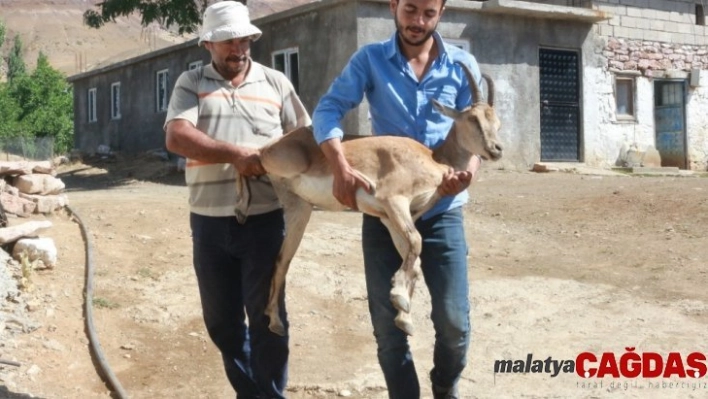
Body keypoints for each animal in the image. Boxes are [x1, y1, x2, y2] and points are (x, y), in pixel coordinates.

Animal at [243, 65, 504, 338]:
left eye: (496, 122)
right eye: (473, 119)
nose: (497, 149)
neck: (434, 159)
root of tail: (272, 147)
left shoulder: (391, 218)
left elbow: (414, 260)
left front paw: (404, 317)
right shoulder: (394, 200)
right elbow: (416, 242)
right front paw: (398, 295)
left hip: (299, 208)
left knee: (282, 258)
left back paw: (275, 321)